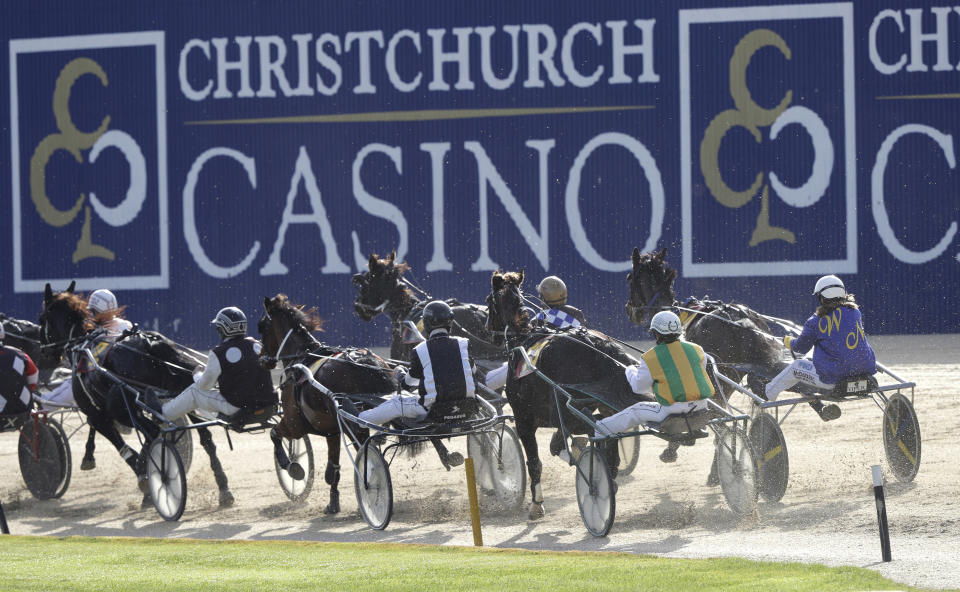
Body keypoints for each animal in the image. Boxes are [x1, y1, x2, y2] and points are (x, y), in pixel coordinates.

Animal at [39, 286, 238, 504]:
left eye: (42, 318)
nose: (44, 352)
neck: (83, 343)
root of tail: (151, 343)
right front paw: (89, 457)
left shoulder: (97, 413)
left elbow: (118, 443)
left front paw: (143, 478)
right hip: (182, 390)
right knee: (205, 438)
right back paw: (223, 487)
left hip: (122, 405)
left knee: (154, 432)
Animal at [484, 272, 648, 520]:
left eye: (489, 302)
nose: (487, 329)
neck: (524, 338)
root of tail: (597, 346)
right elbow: (557, 444)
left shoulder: (526, 419)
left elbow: (535, 461)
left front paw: (536, 504)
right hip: (601, 405)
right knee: (607, 430)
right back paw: (609, 471)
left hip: (568, 411)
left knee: (598, 427)